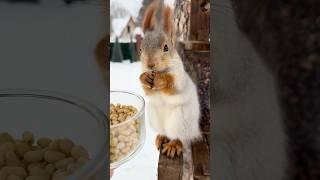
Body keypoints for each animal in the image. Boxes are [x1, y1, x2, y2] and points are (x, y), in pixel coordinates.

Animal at [139, 0, 201, 158]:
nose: (150, 65)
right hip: (155, 117)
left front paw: (162, 81)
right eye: (140, 49)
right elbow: (147, 91)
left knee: (179, 137)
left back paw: (174, 145)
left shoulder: (179, 76)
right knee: (165, 132)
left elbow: (174, 85)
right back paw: (162, 136)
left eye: (166, 48)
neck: (160, 71)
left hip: (180, 121)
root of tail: (195, 130)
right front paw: (144, 78)